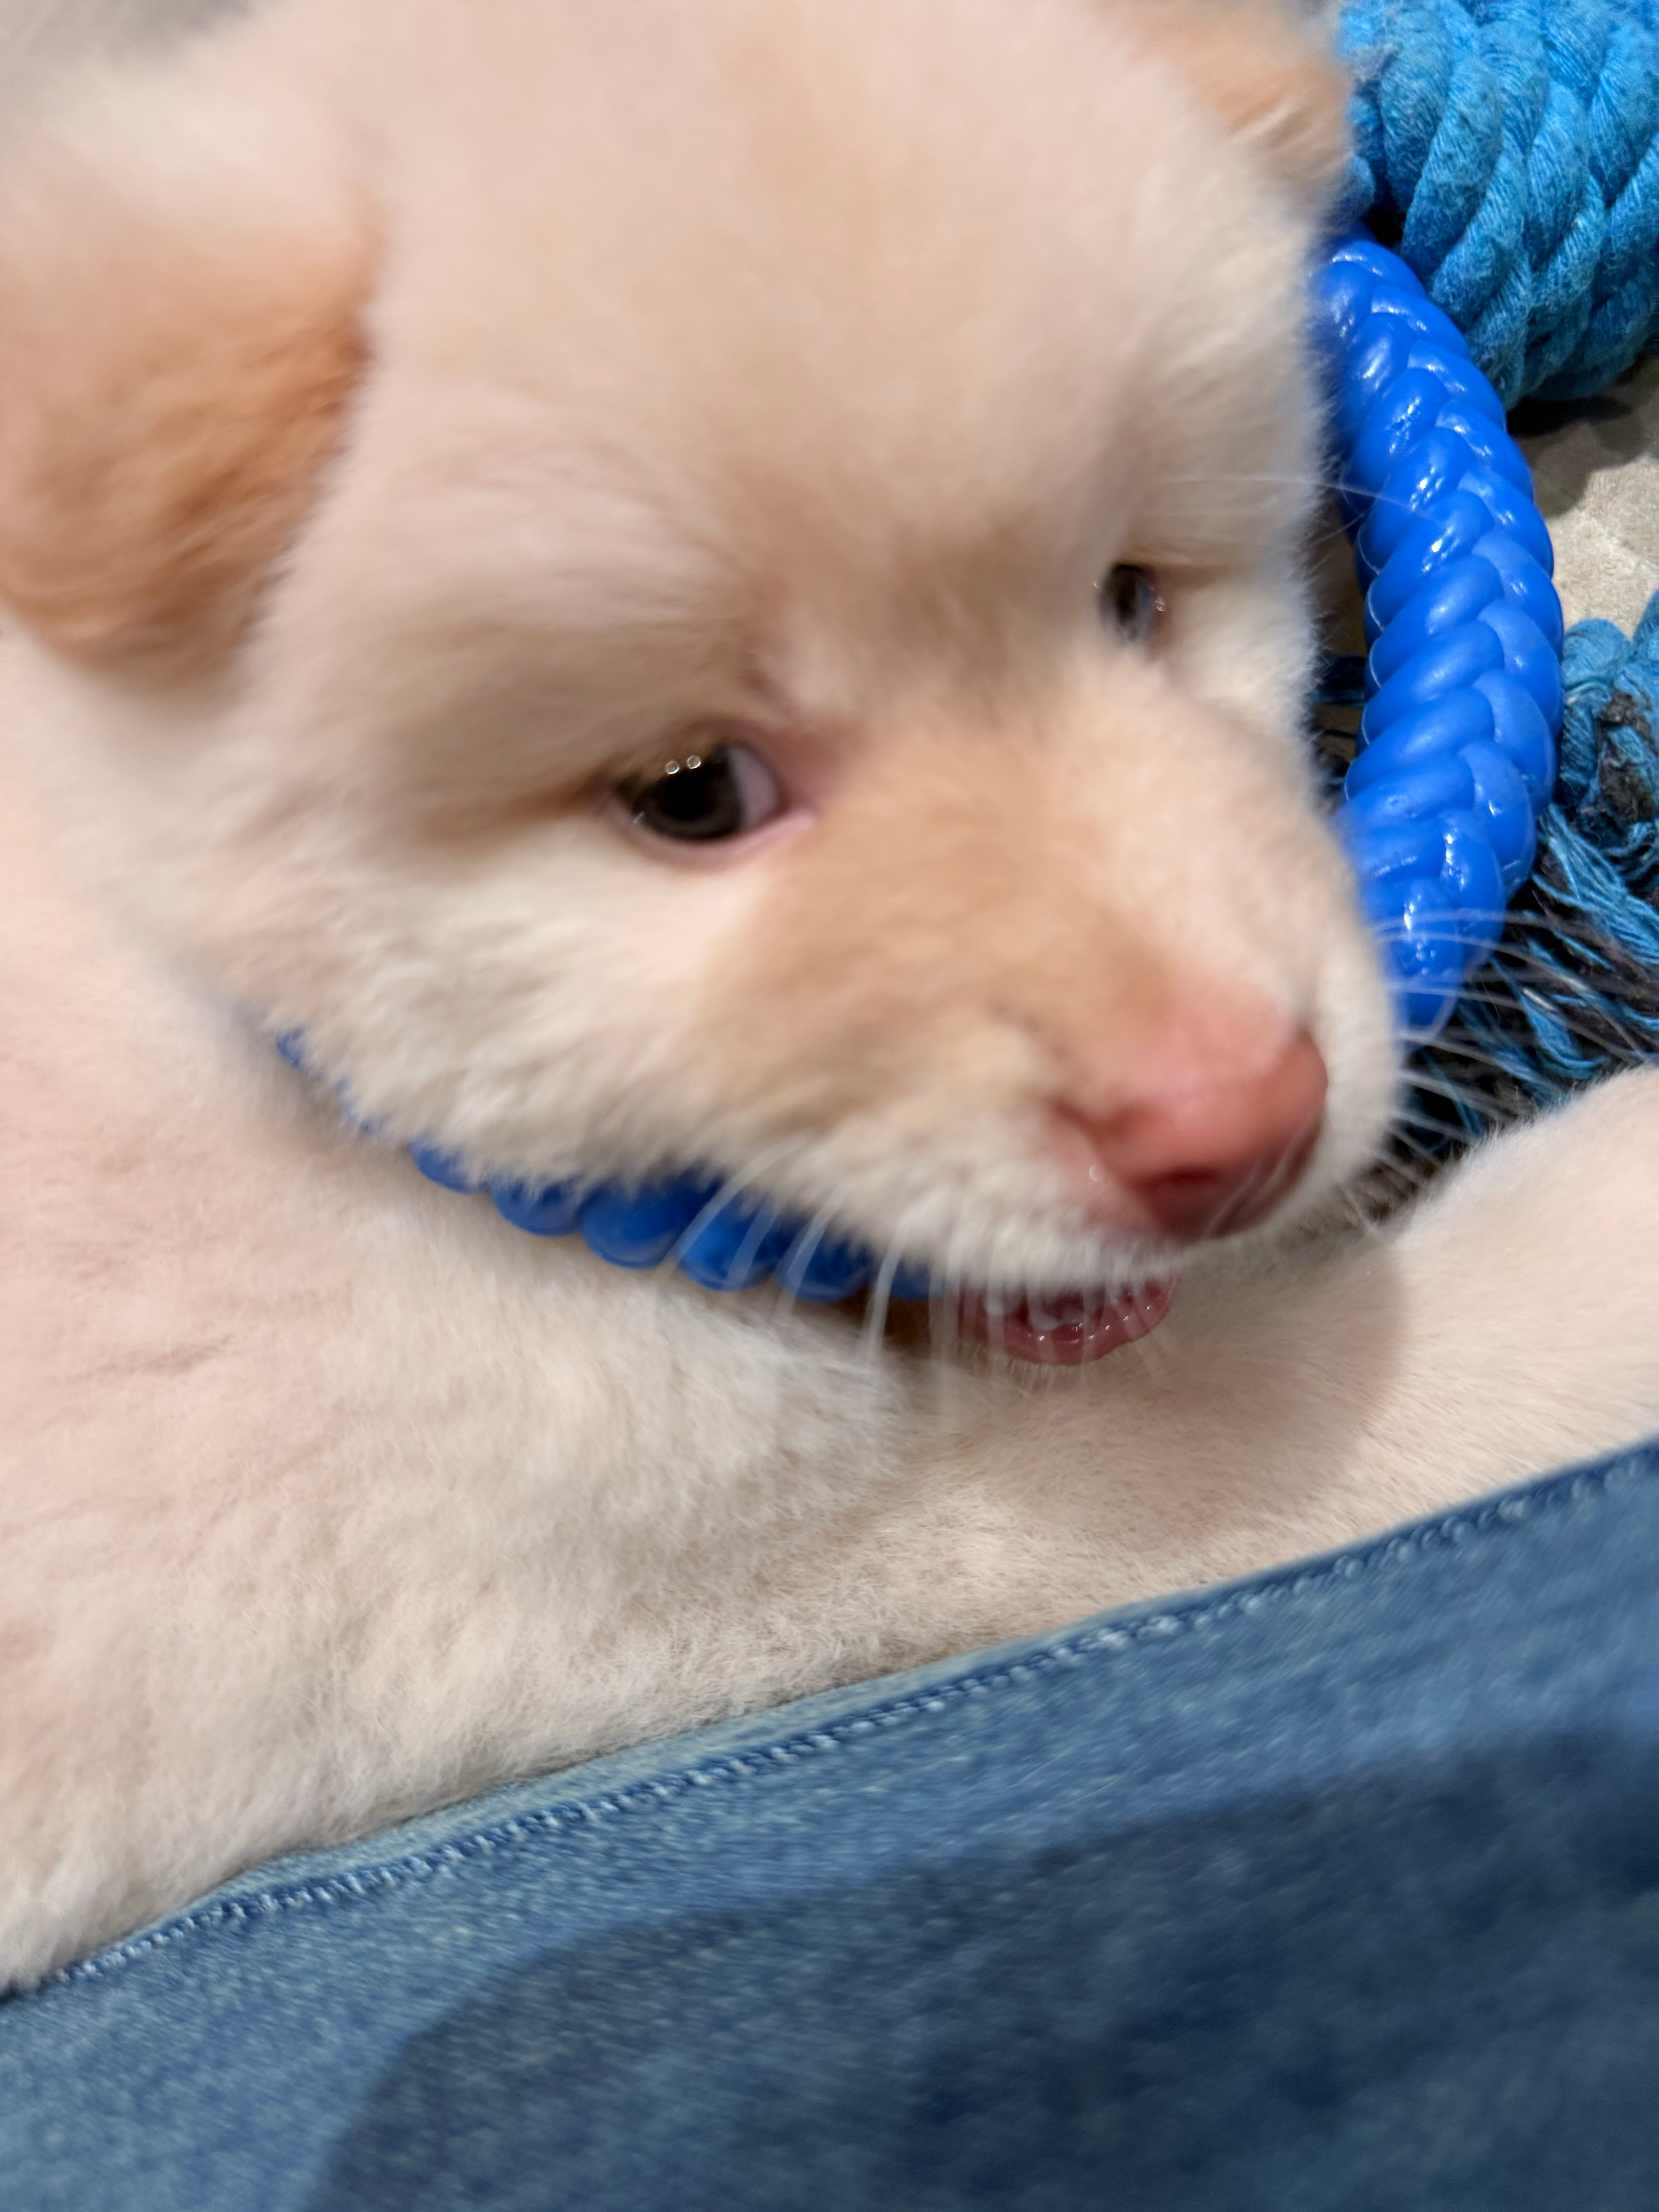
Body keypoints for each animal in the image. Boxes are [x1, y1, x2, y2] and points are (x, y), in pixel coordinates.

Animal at [1, 0, 1656, 1989]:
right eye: (694, 793)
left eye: (1131, 602)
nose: (1237, 1128)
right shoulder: (762, 1536)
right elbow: (1313, 1401)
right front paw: (1621, 1221)